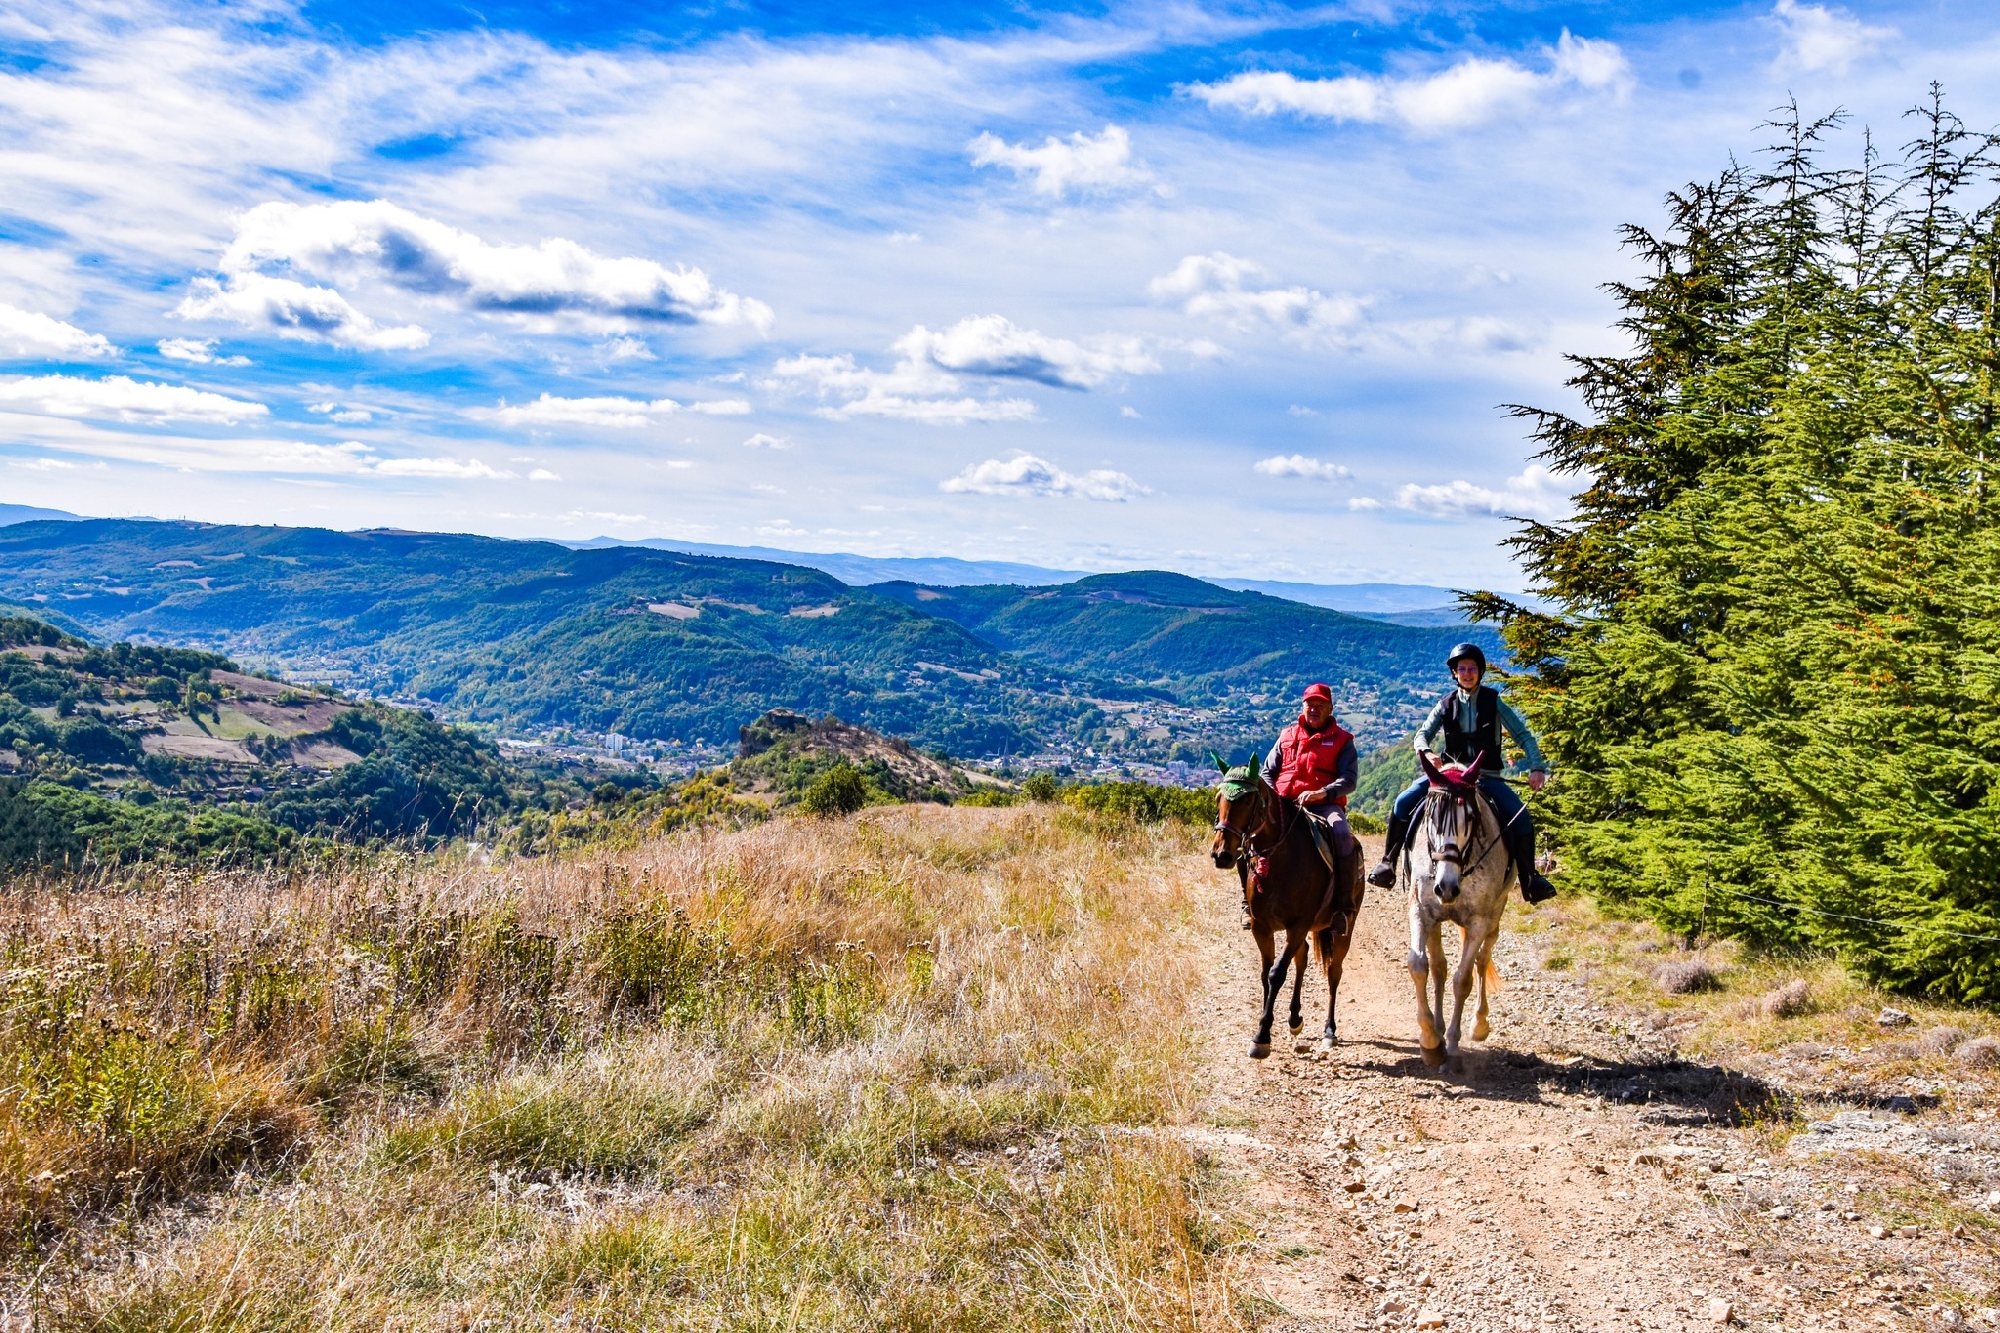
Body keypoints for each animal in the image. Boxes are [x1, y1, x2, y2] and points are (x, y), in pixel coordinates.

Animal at [1208, 764, 1368, 1056]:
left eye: (1247, 801)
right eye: (1218, 798)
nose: (1221, 854)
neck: (1281, 859)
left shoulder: (1298, 925)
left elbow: (1276, 974)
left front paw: (1261, 1036)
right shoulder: (1261, 927)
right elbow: (1265, 974)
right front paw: (1266, 1026)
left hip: (1343, 929)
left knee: (1334, 972)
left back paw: (1329, 1031)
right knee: (1302, 957)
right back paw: (1295, 1018)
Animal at [1400, 752, 1504, 1064]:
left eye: (1470, 817)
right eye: (1430, 816)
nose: (1445, 888)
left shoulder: (1479, 922)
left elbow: (1463, 980)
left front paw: (1453, 1040)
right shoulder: (1421, 912)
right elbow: (1419, 966)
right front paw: (1430, 1039)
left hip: (1496, 916)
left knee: (1482, 960)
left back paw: (1479, 1024)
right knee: (1439, 968)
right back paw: (1438, 1026)